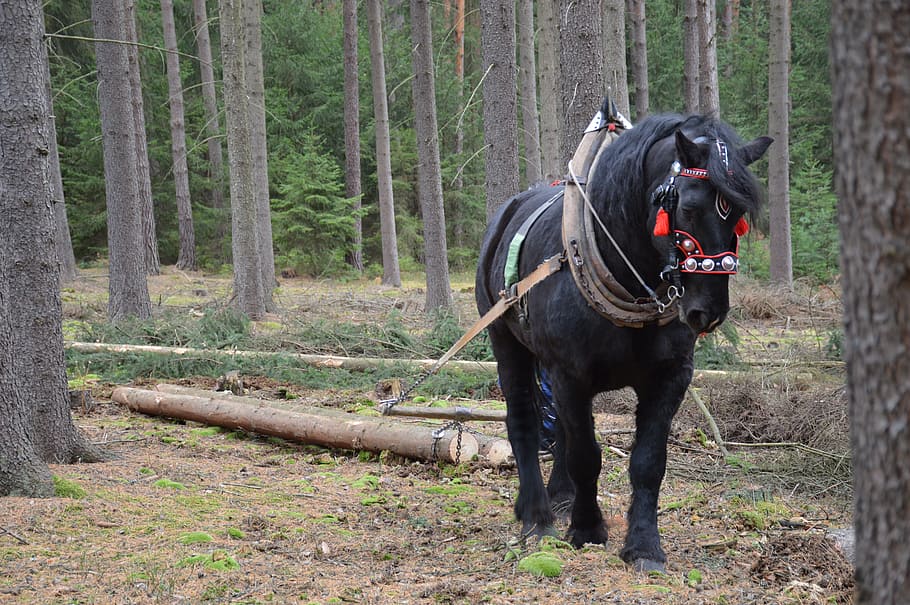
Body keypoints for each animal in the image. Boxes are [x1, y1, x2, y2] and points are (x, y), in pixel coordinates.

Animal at [475, 109, 772, 572]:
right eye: (689, 207)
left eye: (738, 215)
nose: (708, 311)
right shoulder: (570, 375)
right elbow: (586, 455)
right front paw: (587, 529)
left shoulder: (670, 378)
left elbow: (647, 462)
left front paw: (644, 545)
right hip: (507, 343)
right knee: (523, 420)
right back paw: (536, 516)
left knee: (558, 428)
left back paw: (560, 496)